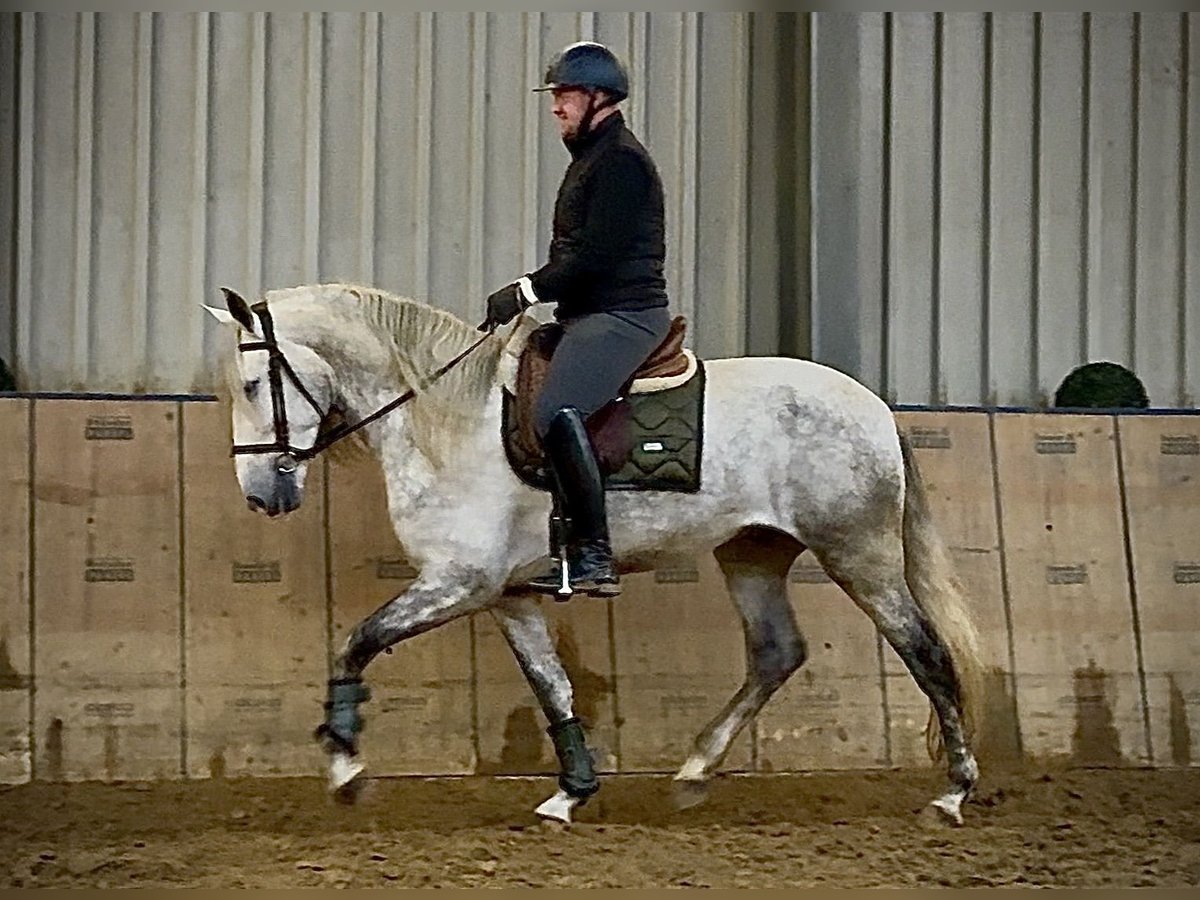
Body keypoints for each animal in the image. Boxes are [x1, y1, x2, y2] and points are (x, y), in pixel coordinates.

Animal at [203, 281, 984, 826]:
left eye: (254, 384)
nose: (260, 493)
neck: (446, 418)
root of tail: (874, 407)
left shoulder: (458, 581)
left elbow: (357, 642)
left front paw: (343, 764)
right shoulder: (505, 595)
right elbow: (553, 688)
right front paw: (571, 794)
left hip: (859, 553)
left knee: (926, 652)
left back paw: (953, 793)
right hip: (752, 553)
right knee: (776, 653)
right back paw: (694, 771)